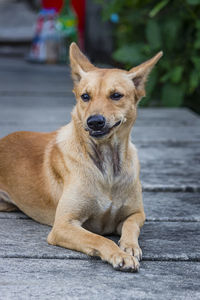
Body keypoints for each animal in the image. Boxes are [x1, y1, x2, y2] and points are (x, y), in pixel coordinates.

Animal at [0, 44, 162, 272]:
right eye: (85, 96)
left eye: (116, 95)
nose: (94, 121)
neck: (107, 165)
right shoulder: (63, 225)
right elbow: (99, 239)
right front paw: (118, 254)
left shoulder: (137, 214)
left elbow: (131, 226)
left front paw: (129, 246)